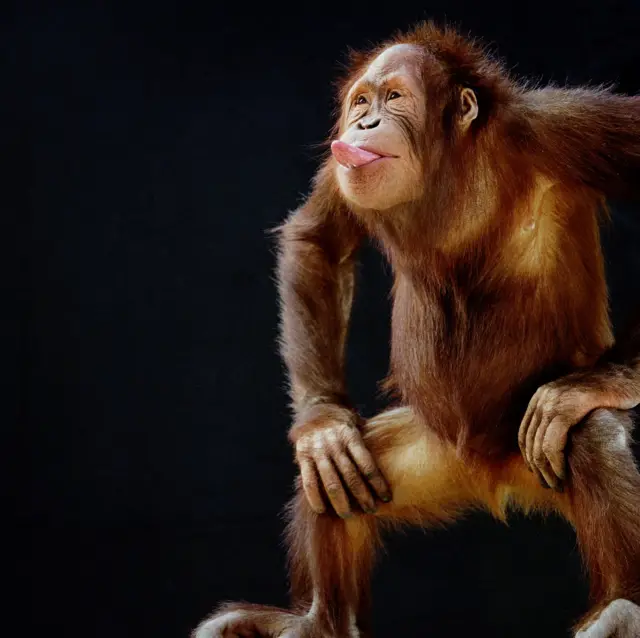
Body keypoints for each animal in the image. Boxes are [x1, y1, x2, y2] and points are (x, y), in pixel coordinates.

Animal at [194, 22, 640, 637]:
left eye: (395, 98)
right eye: (362, 102)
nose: (364, 125)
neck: (455, 171)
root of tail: (492, 476)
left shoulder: (561, 126)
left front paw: (595, 383)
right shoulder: (344, 168)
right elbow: (318, 240)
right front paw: (322, 424)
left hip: (525, 448)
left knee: (588, 434)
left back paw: (623, 604)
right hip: (432, 453)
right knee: (332, 480)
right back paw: (321, 619)